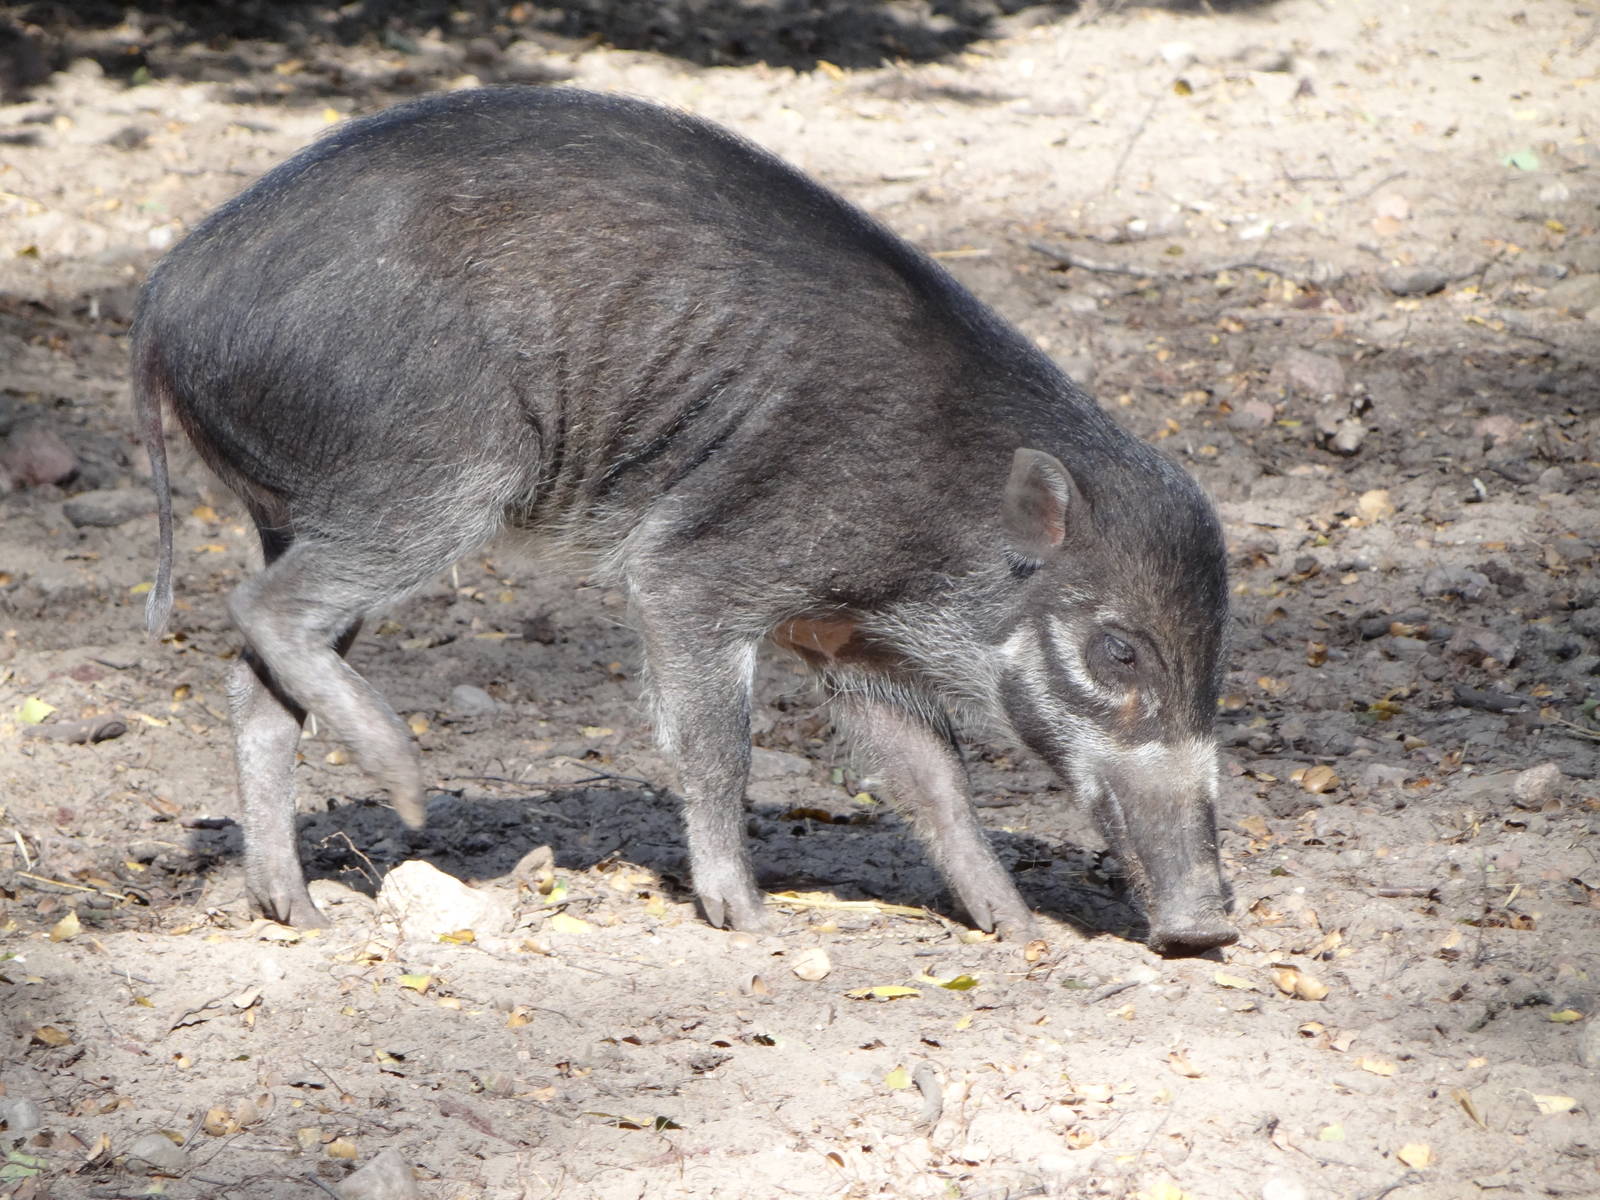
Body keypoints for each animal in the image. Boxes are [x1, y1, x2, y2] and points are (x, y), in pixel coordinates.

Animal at [134, 87, 1235, 953]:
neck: (948, 524)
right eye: (1118, 651)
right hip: (434, 478)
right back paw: (407, 790)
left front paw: (1018, 928)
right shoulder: (694, 573)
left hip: (309, 506)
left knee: (255, 681)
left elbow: (935, 784)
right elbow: (716, 745)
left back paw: (296, 909)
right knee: (262, 611)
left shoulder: (848, 638)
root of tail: (164, 298)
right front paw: (748, 918)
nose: (1210, 928)